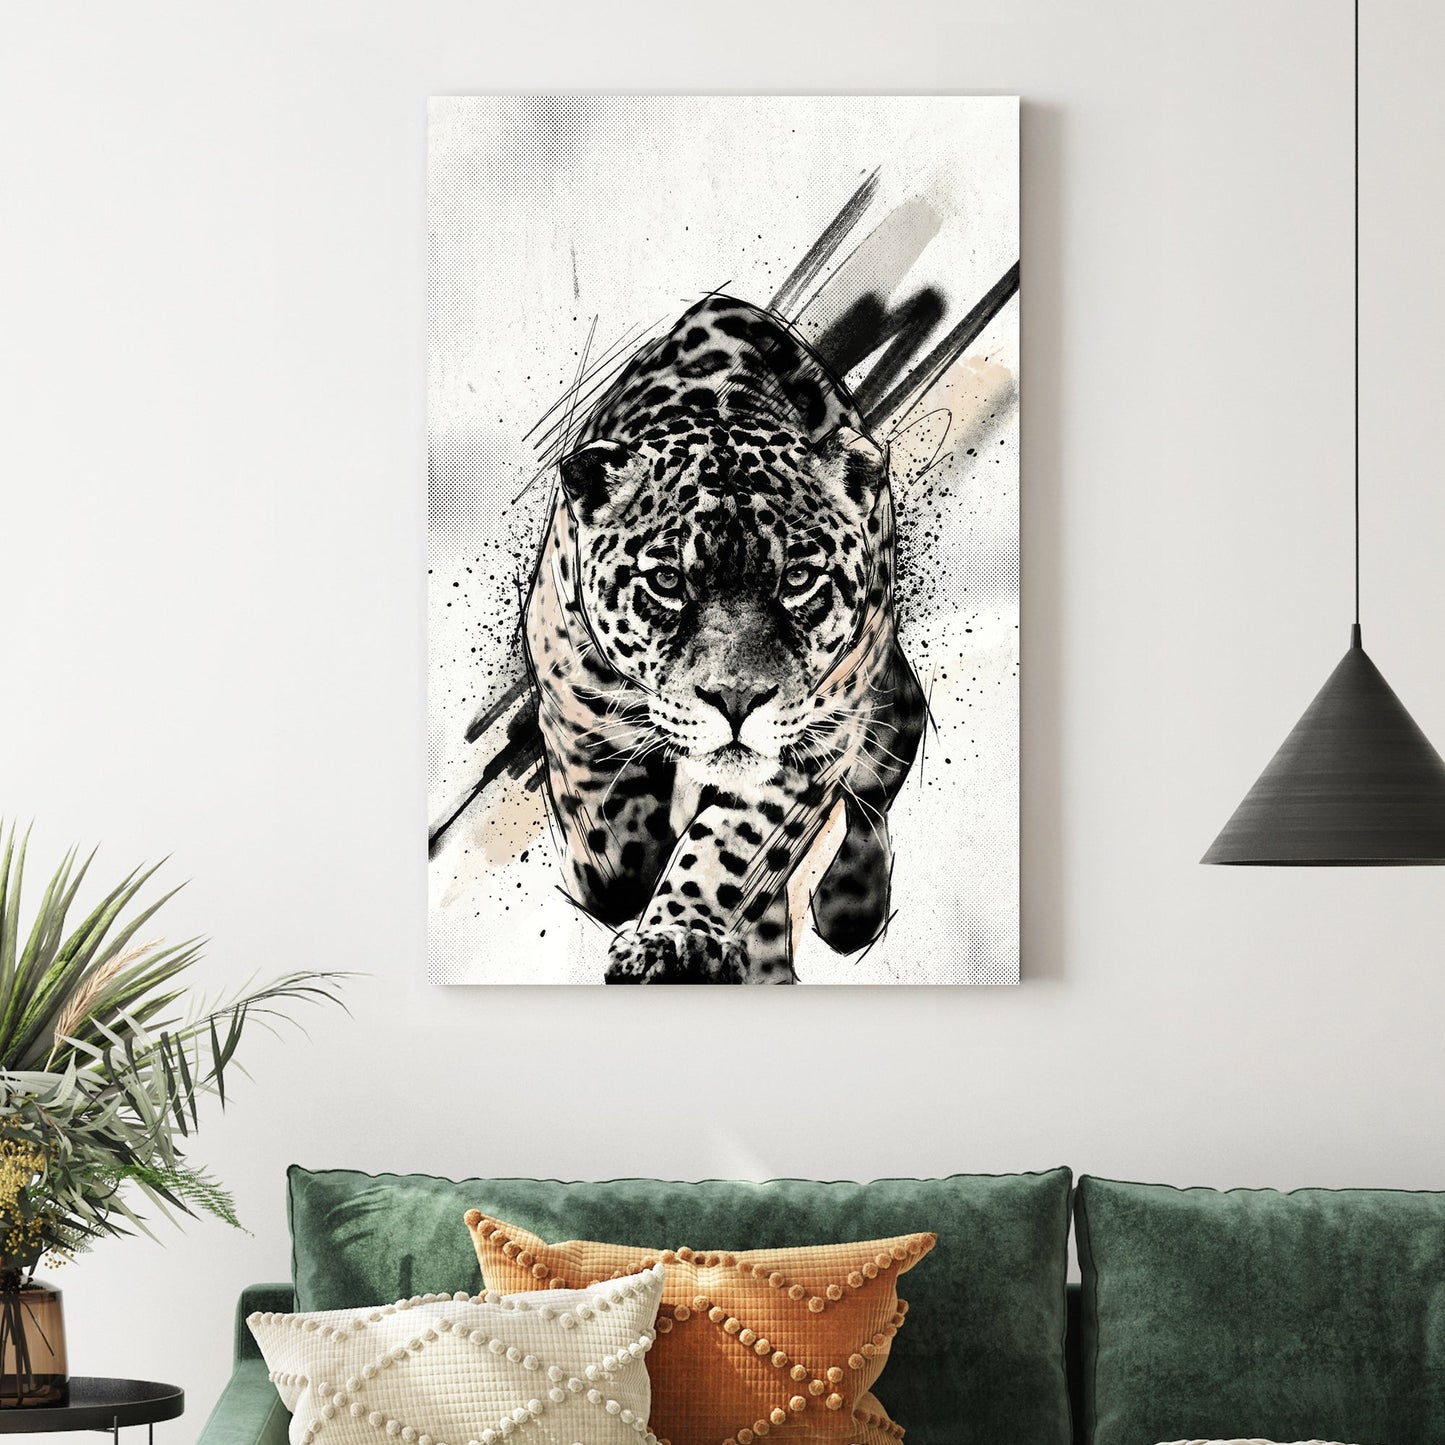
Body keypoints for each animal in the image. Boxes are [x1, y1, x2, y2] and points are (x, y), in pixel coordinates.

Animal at [522, 293, 926, 983]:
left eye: (798, 579)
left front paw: (674, 936)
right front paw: (629, 863)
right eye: (665, 580)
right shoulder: (569, 703)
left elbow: (726, 847)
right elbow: (611, 857)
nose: (736, 702)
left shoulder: (810, 747)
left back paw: (849, 904)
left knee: (888, 754)